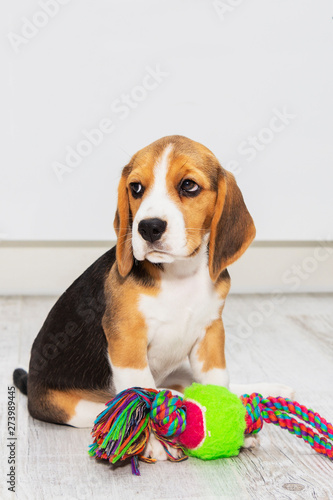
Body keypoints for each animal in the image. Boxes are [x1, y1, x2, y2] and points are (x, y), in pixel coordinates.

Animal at [14, 134, 292, 460]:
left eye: (189, 185)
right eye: (136, 188)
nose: (148, 227)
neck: (179, 276)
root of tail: (31, 385)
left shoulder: (211, 333)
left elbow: (217, 379)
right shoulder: (127, 339)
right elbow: (139, 391)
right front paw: (150, 440)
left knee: (186, 383)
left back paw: (268, 390)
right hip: (74, 406)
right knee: (120, 402)